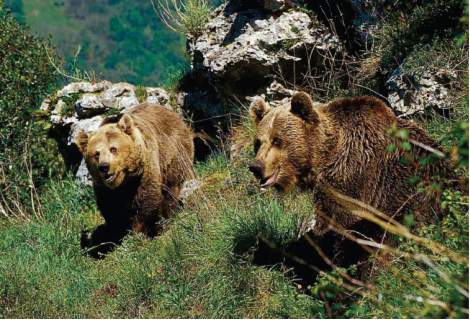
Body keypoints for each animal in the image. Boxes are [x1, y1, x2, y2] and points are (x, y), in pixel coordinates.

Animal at [76, 103, 194, 258]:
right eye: (96, 153)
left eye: (113, 149)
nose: (104, 167)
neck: (124, 181)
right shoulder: (105, 189)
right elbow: (112, 209)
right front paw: (117, 235)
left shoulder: (144, 173)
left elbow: (145, 201)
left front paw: (137, 233)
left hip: (174, 156)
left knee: (170, 191)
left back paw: (167, 219)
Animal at [250, 90, 456, 248]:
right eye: (258, 142)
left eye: (277, 140)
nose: (255, 166)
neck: (325, 156)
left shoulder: (354, 177)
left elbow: (340, 224)